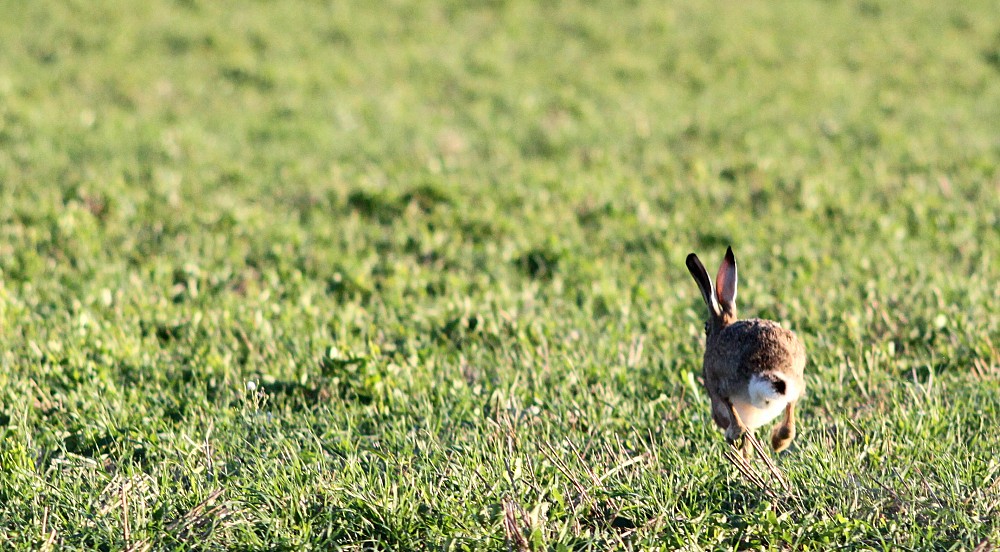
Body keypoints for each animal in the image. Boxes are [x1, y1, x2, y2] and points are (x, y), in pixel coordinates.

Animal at [685, 246, 806, 454]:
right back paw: (778, 442)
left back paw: (733, 437)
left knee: (736, 419)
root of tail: (768, 366)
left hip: (725, 384)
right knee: (790, 413)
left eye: (706, 327)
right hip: (794, 383)